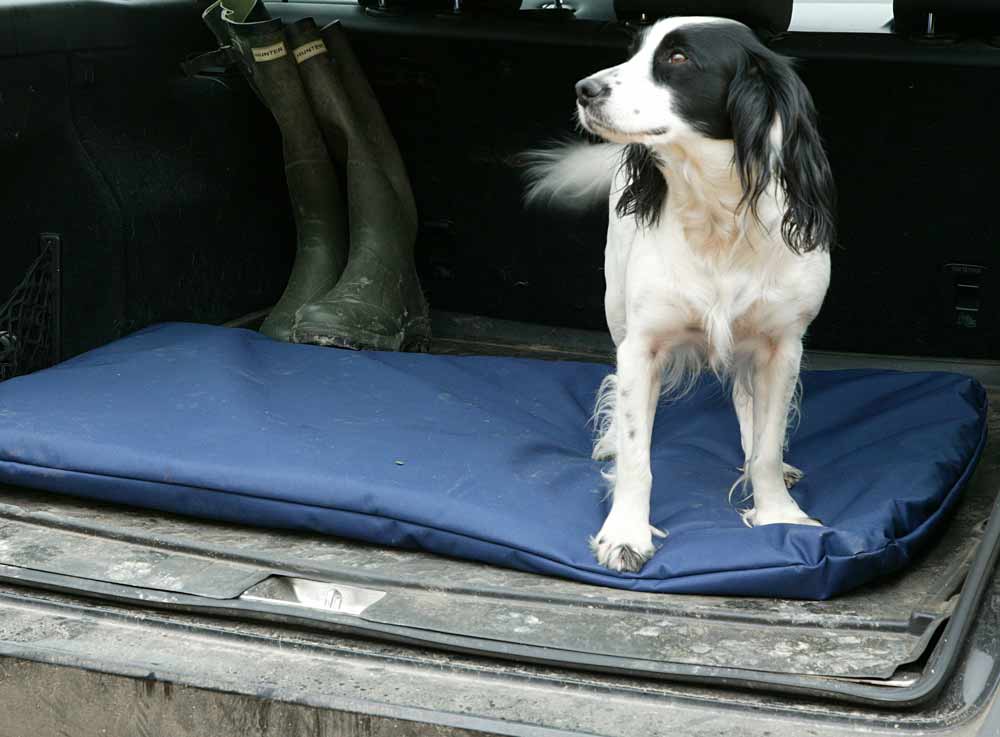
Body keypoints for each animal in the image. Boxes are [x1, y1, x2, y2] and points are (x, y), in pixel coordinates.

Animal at [524, 14, 836, 572]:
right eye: (633, 51)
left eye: (677, 59)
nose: (583, 90)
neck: (718, 217)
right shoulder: (642, 346)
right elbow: (637, 456)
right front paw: (625, 533)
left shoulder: (782, 347)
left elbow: (767, 446)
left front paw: (779, 515)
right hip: (616, 306)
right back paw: (608, 441)